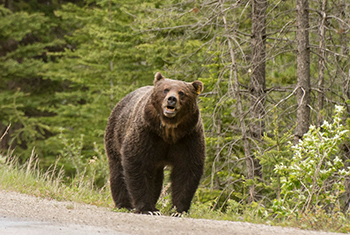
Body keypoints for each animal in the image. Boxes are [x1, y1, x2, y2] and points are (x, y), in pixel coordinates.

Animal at [104, 72, 205, 215]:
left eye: (182, 93)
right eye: (166, 90)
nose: (171, 99)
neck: (169, 131)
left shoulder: (188, 138)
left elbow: (187, 169)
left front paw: (178, 210)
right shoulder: (147, 133)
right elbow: (138, 164)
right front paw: (147, 208)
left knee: (156, 177)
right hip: (115, 136)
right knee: (118, 171)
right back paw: (124, 204)